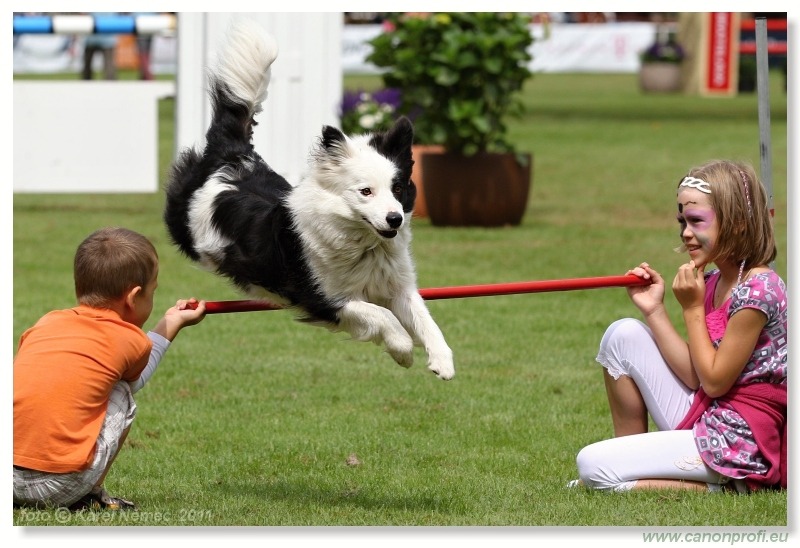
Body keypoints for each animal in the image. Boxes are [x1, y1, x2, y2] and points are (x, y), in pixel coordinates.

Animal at [162, 20, 454, 382]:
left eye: (398, 188)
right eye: (366, 192)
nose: (394, 219)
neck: (362, 244)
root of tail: (232, 156)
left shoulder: (397, 285)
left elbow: (424, 317)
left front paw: (442, 360)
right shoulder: (318, 295)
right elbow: (379, 314)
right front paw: (401, 349)